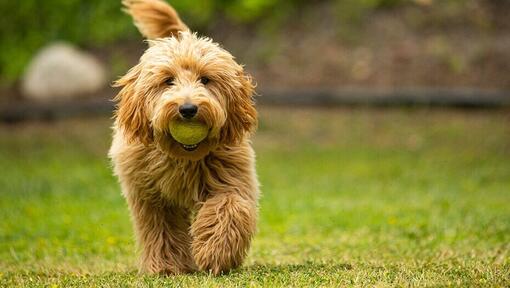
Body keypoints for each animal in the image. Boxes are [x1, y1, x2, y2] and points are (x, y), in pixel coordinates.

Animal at [108, 0, 258, 274]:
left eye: (206, 79)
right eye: (168, 81)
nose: (188, 109)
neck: (182, 157)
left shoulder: (231, 177)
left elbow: (229, 207)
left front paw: (215, 252)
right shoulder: (150, 196)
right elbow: (161, 229)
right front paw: (167, 267)